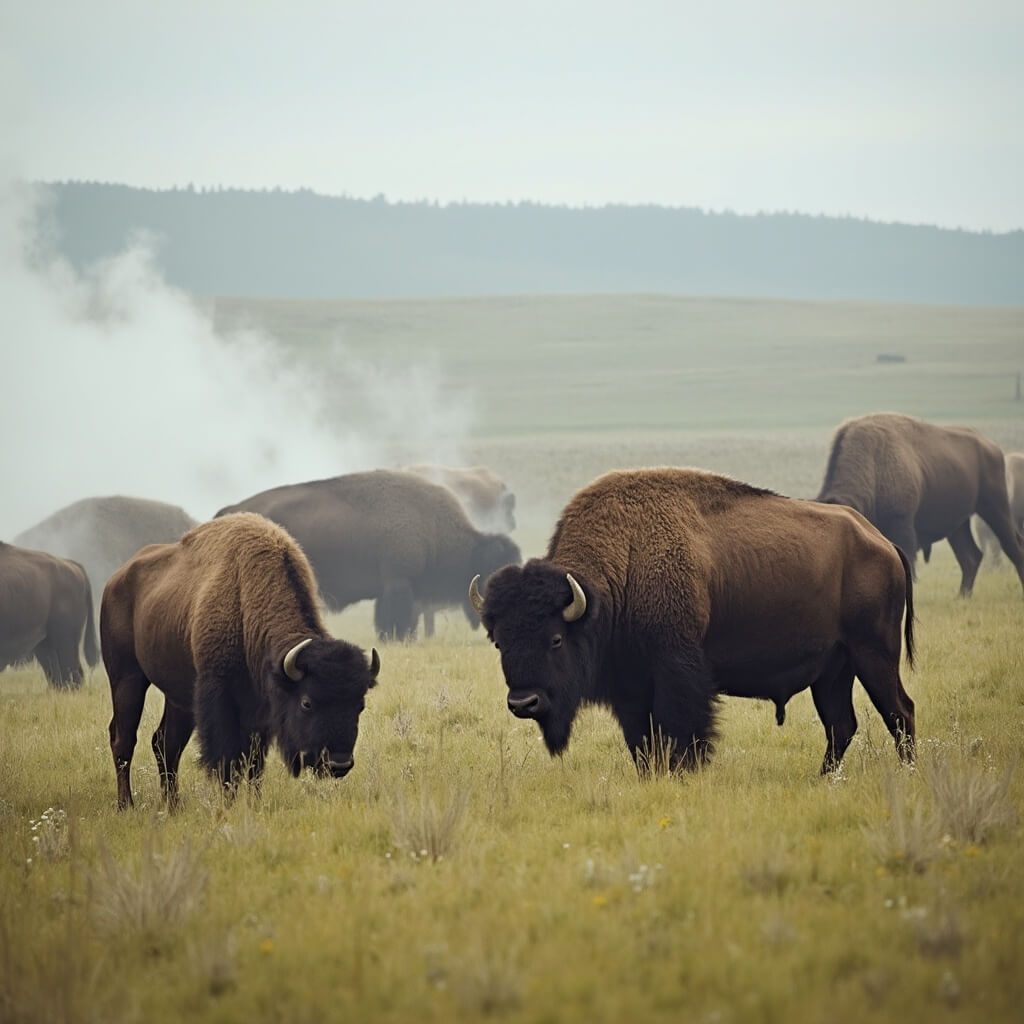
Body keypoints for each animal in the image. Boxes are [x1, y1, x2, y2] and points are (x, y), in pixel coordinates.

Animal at [101, 513, 380, 809]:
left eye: (360, 705)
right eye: (307, 703)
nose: (339, 764)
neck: (246, 603)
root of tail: (114, 581)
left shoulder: (260, 711)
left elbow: (254, 764)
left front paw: (254, 803)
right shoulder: (220, 700)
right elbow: (229, 761)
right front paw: (230, 804)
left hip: (179, 697)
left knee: (165, 743)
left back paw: (173, 806)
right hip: (126, 679)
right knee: (123, 739)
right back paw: (126, 804)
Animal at [471, 468, 915, 775]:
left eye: (556, 639)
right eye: (499, 641)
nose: (523, 703)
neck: (626, 562)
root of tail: (882, 542)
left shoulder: (676, 672)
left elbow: (681, 732)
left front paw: (684, 773)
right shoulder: (630, 687)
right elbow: (642, 743)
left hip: (874, 654)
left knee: (899, 712)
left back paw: (906, 772)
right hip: (833, 670)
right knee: (841, 725)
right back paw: (822, 780)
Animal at [816, 413, 1024, 597]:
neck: (874, 463)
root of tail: (992, 447)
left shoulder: (902, 523)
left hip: (994, 506)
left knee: (1012, 546)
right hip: (958, 525)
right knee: (970, 557)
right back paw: (962, 596)